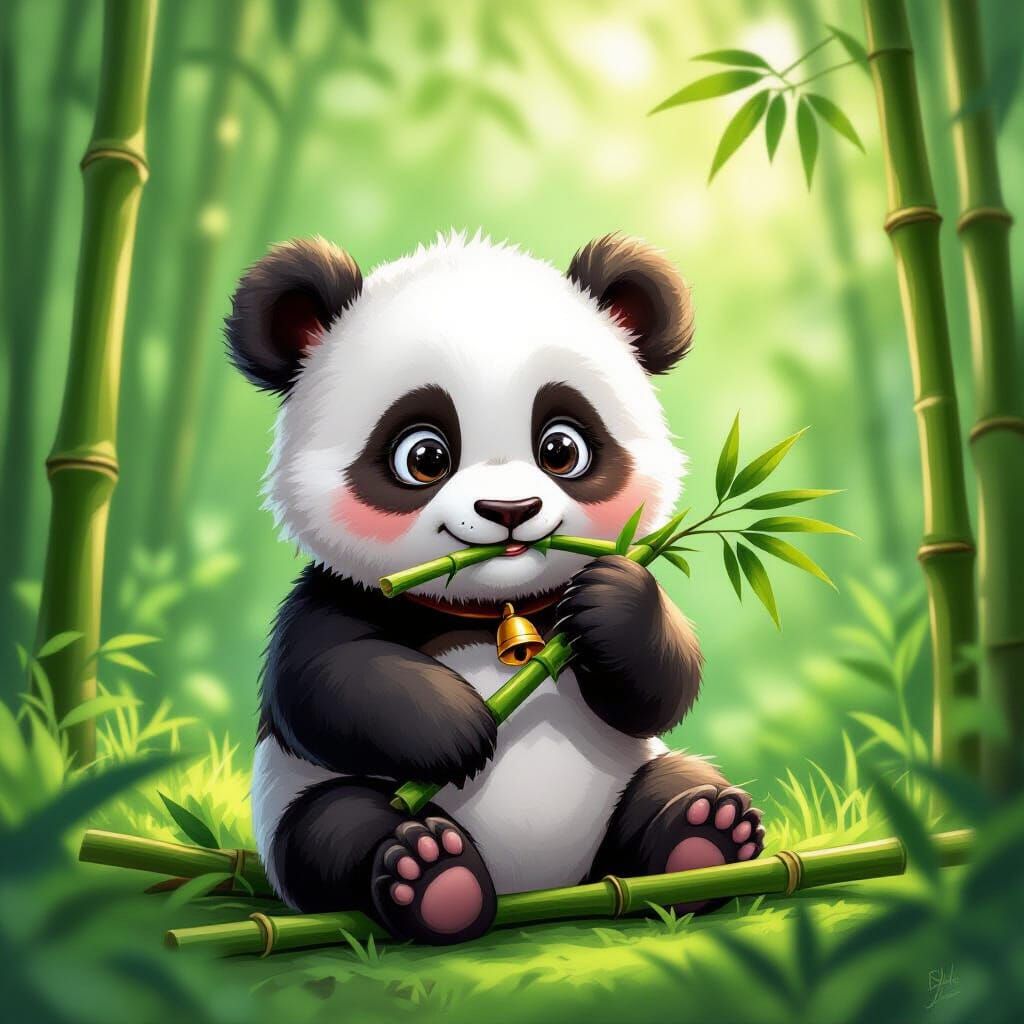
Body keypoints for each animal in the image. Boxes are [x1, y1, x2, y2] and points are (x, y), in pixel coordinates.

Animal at [228, 231, 764, 946]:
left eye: (561, 448)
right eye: (424, 456)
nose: (510, 509)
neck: (492, 608)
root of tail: (539, 885)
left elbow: (663, 687)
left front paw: (612, 605)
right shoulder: (337, 595)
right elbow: (322, 680)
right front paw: (458, 726)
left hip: (629, 784)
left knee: (674, 778)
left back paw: (705, 838)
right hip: (303, 802)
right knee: (334, 827)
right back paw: (433, 876)